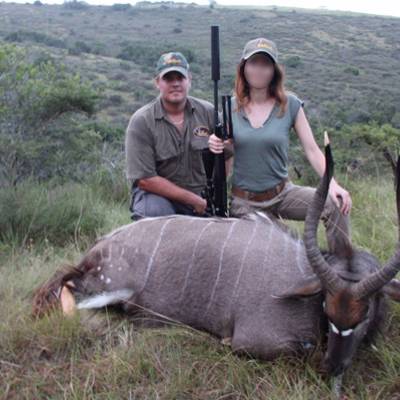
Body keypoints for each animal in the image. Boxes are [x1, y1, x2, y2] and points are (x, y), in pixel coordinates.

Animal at [33, 136, 400, 396]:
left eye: (366, 311)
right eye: (326, 305)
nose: (333, 366)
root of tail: (97, 250)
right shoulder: (259, 339)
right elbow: (287, 350)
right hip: (106, 288)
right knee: (71, 295)